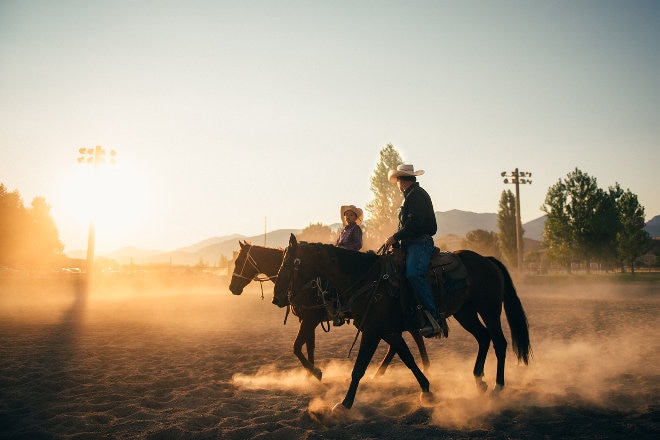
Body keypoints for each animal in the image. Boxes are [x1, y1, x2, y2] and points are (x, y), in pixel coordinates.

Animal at [229, 241, 430, 382]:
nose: (232, 288)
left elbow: (297, 346)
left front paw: (315, 372)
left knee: (412, 336)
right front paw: (309, 374)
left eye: (238, 261)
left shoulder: (310, 319)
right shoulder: (306, 319)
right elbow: (309, 346)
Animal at [274, 235, 532, 414]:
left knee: (499, 341)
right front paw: (426, 390)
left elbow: (359, 367)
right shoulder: (386, 330)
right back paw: (479, 380)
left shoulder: (372, 330)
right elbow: (407, 357)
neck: (368, 279)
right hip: (465, 313)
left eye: (288, 264)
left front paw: (344, 404)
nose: (278, 297)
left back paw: (498, 386)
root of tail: (487, 260)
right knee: (483, 338)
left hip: (489, 310)